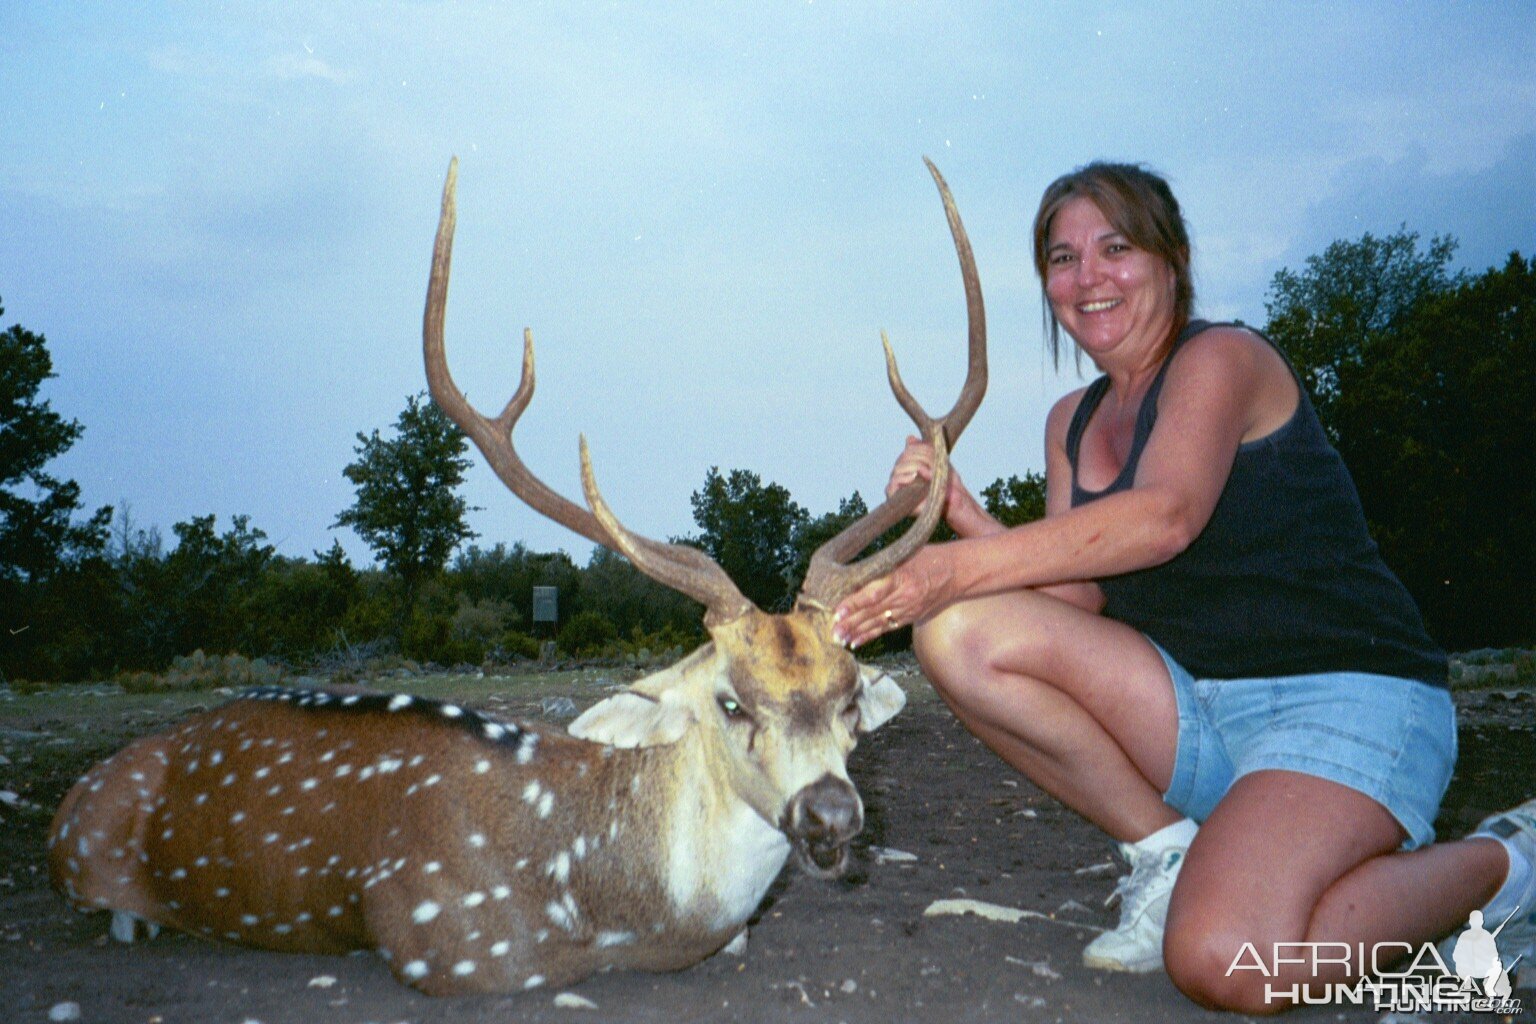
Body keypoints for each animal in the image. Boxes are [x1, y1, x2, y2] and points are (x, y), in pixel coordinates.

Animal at [48, 158, 989, 994]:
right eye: (729, 700)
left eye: (849, 695)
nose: (831, 814)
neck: (615, 908)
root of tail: (81, 790)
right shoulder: (445, 943)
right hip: (83, 847)